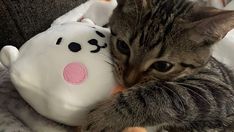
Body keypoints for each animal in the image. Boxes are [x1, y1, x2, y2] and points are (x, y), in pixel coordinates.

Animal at [83, 0, 234, 131]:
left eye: (162, 66)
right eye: (122, 46)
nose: (128, 82)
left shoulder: (219, 91)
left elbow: (164, 93)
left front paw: (105, 116)